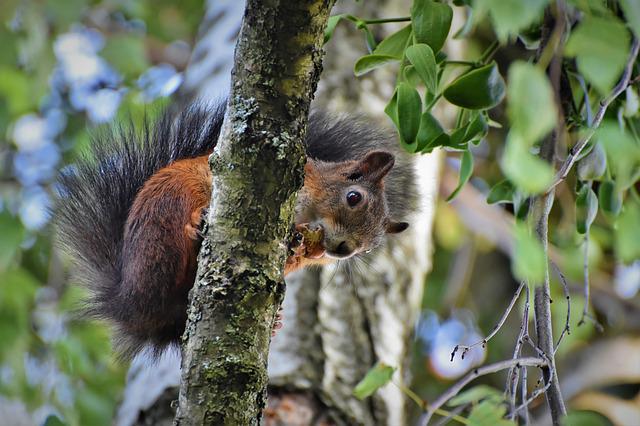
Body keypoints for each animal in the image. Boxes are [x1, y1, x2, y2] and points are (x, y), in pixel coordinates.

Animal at [55, 103, 416, 359]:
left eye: (369, 247)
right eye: (354, 197)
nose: (343, 249)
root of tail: (130, 303)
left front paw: (300, 242)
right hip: (166, 217)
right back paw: (195, 228)